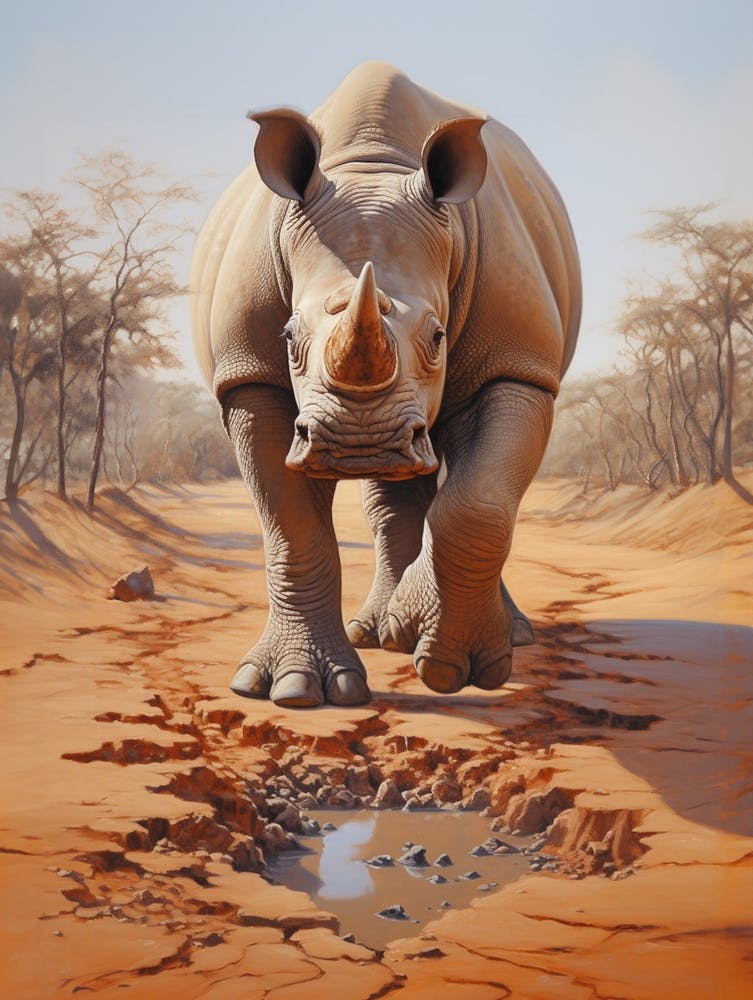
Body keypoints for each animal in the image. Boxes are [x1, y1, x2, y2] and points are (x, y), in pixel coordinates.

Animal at [191, 62, 581, 708]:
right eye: (288, 337)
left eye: (438, 337)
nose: (359, 442)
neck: (373, 168)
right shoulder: (248, 376)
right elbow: (292, 529)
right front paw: (293, 689)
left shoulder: (519, 365)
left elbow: (479, 504)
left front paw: (455, 668)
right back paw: (383, 634)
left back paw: (476, 633)